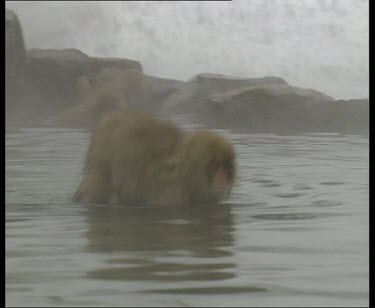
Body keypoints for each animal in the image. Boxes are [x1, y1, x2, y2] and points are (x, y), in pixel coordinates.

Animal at [73, 109, 236, 206]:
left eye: (225, 166)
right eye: (216, 166)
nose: (223, 178)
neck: (188, 173)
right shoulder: (172, 192)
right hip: (102, 163)